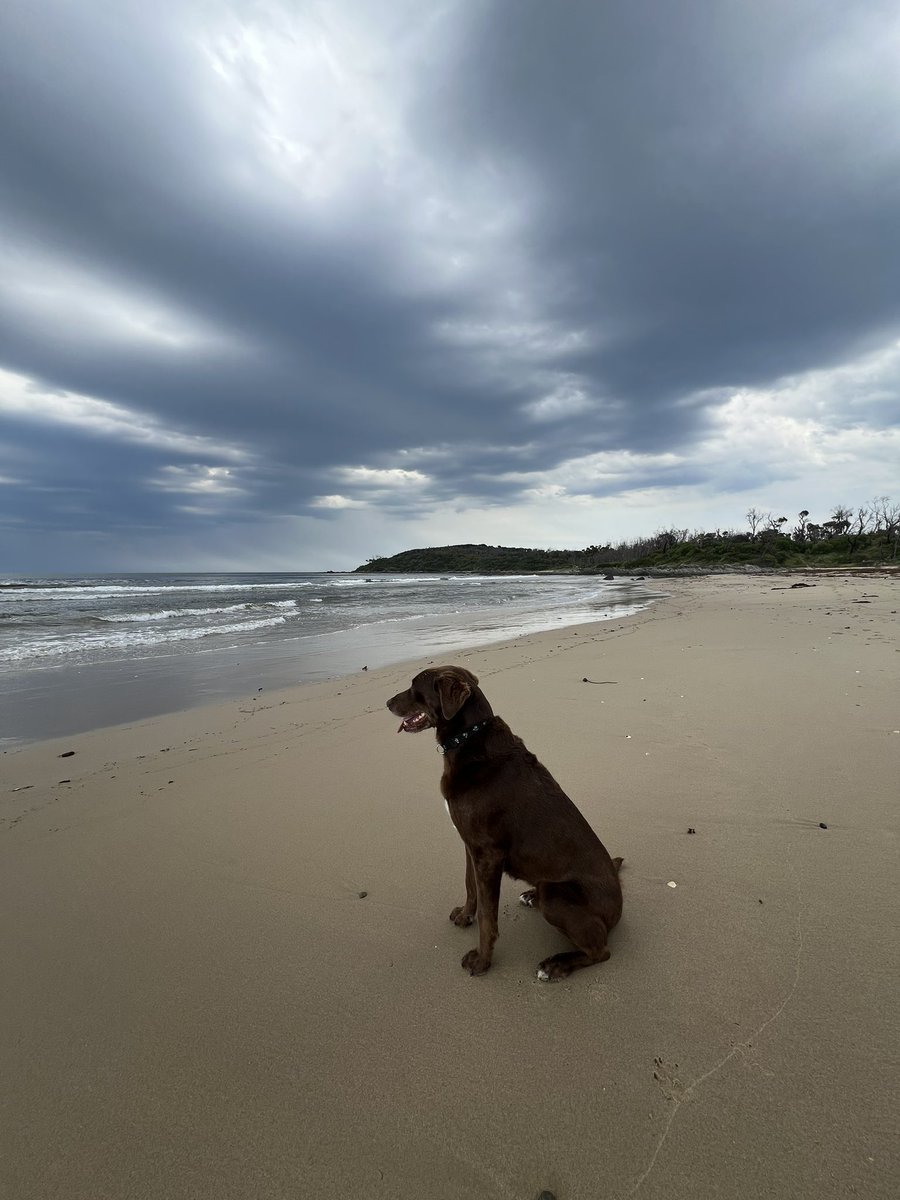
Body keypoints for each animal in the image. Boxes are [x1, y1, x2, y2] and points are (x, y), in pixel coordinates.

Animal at [388, 662, 628, 979]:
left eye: (416, 686)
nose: (387, 703)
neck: (469, 738)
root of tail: (619, 903)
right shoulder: (470, 846)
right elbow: (470, 887)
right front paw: (465, 916)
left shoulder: (488, 855)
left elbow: (488, 918)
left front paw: (481, 961)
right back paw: (531, 897)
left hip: (556, 894)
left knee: (601, 951)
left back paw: (556, 965)